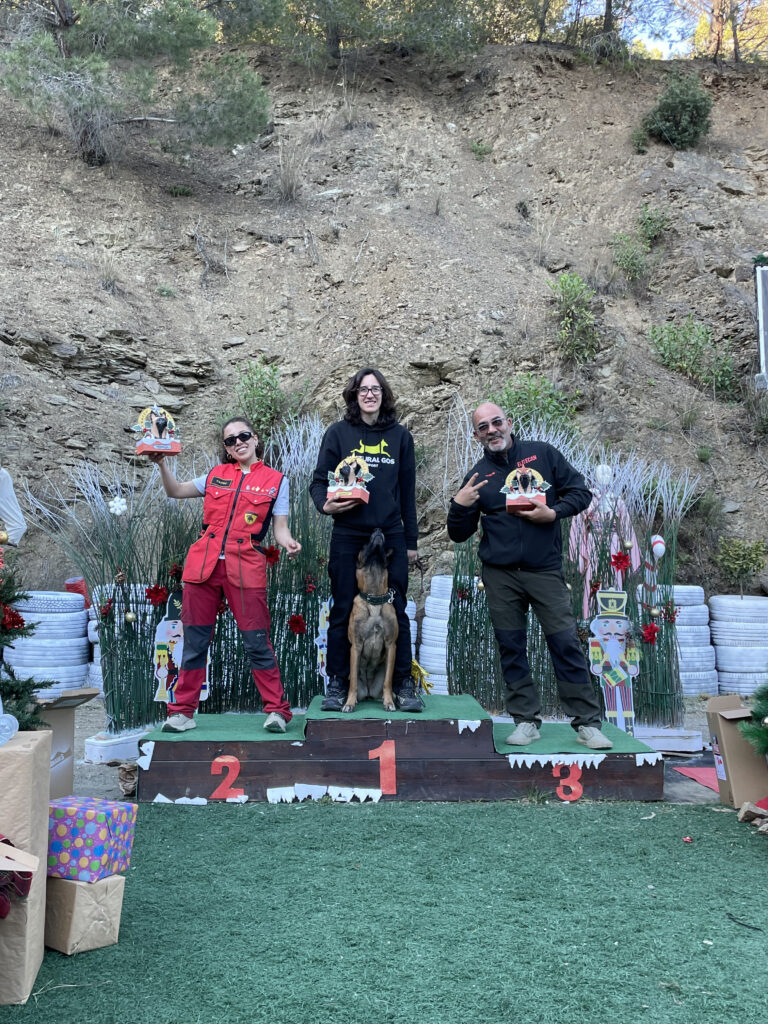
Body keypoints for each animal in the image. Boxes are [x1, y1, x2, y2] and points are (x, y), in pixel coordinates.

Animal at [344, 529, 399, 712]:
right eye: (363, 545)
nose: (378, 530)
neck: (374, 598)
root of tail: (368, 692)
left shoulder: (391, 645)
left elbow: (388, 681)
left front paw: (389, 702)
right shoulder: (356, 646)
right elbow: (353, 682)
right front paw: (349, 703)